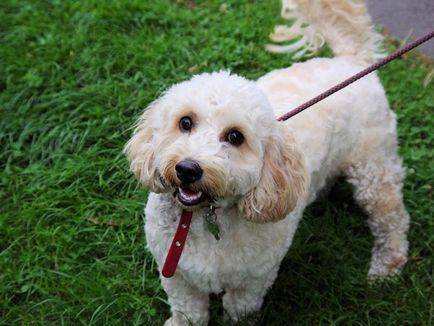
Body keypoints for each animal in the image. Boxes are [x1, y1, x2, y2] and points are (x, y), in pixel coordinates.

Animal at [124, 1, 410, 324]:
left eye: (235, 136)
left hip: (373, 167)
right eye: (185, 122)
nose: (187, 169)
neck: (205, 216)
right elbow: (188, 312)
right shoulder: (177, 275)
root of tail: (352, 60)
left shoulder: (252, 282)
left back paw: (386, 269)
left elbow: (238, 311)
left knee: (393, 218)